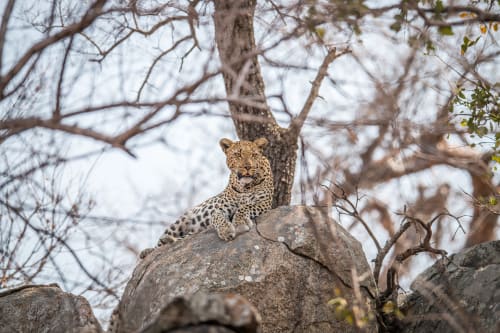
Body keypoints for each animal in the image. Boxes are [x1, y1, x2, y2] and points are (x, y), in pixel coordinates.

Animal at [140, 136, 274, 258]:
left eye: (254, 155)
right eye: (238, 155)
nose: (247, 167)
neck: (245, 186)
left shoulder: (265, 203)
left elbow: (245, 207)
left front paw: (239, 223)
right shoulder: (221, 207)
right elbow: (216, 216)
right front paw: (226, 230)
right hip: (178, 222)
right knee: (160, 245)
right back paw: (148, 251)